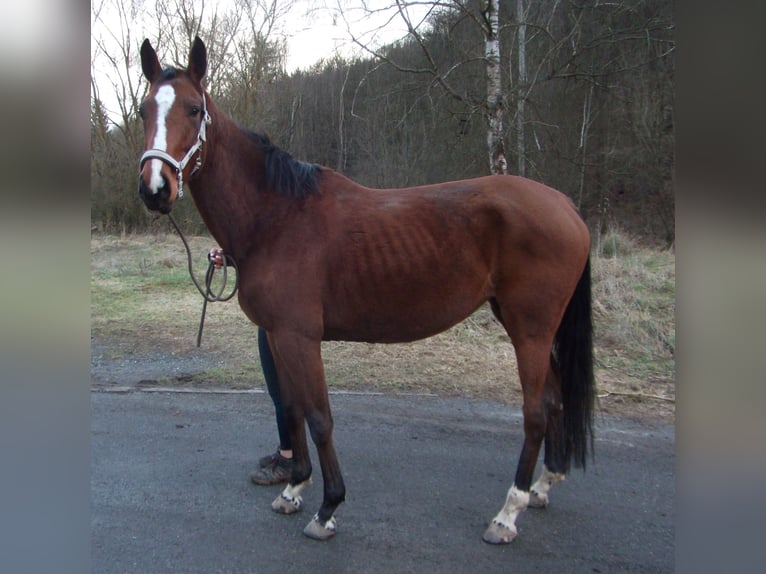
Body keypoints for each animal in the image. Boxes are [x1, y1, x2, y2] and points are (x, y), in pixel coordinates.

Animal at [138, 38, 596, 548]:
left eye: (194, 110)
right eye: (142, 111)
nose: (155, 188)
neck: (276, 216)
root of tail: (565, 205)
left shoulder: (299, 337)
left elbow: (319, 417)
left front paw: (327, 508)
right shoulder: (277, 336)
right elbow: (292, 409)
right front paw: (293, 489)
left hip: (529, 331)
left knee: (535, 411)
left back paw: (507, 514)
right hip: (531, 328)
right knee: (554, 401)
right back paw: (541, 487)